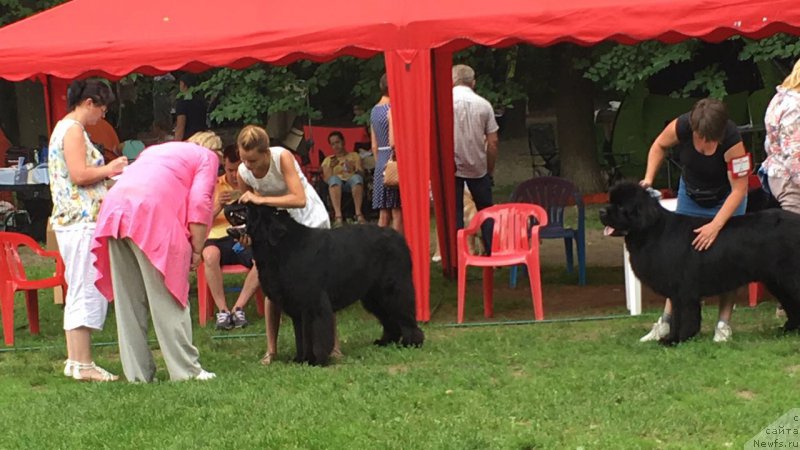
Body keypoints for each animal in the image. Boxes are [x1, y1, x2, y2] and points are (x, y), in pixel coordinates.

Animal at [244, 204, 424, 366]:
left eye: (252, 210)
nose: (239, 205)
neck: (284, 248)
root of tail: (399, 238)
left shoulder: (313, 304)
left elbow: (315, 334)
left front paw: (316, 360)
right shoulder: (298, 309)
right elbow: (301, 337)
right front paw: (301, 359)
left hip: (392, 289)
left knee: (404, 314)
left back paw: (411, 342)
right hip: (374, 296)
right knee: (389, 318)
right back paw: (386, 341)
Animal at [600, 181, 800, 342]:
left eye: (620, 206)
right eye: (610, 200)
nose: (601, 211)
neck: (652, 230)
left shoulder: (683, 290)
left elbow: (684, 316)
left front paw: (676, 339)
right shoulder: (676, 290)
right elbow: (678, 316)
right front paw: (674, 337)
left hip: (789, 278)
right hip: (776, 281)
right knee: (791, 305)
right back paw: (787, 329)